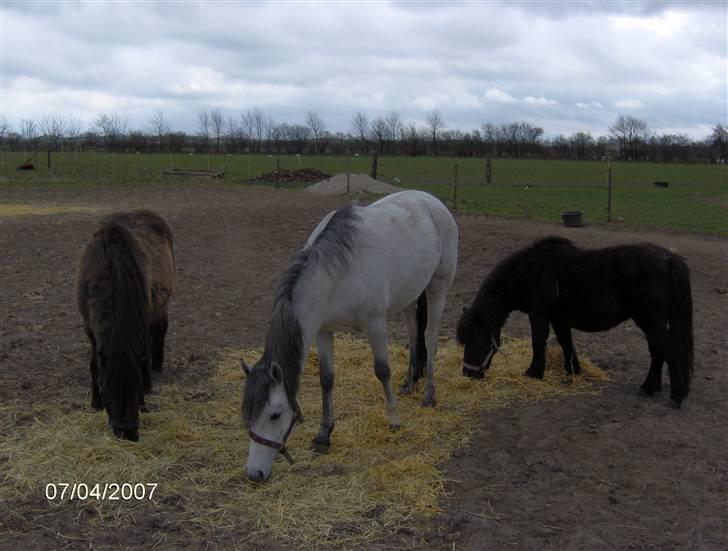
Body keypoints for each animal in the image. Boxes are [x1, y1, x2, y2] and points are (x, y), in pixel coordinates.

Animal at [76, 209, 176, 442]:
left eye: (135, 389)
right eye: (106, 390)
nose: (127, 434)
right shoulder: (89, 328)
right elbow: (94, 363)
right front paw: (95, 402)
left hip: (160, 308)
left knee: (159, 333)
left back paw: (156, 367)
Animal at [242, 191, 458, 484]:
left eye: (275, 415)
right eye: (247, 414)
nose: (255, 474)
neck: (337, 273)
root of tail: (433, 201)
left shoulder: (375, 323)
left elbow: (382, 370)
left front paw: (394, 420)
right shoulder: (323, 330)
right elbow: (326, 379)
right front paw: (323, 435)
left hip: (438, 287)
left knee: (429, 337)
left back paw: (428, 395)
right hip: (409, 294)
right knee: (414, 332)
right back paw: (410, 382)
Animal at [460, 235, 692, 408]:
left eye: (474, 339)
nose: (468, 374)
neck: (528, 271)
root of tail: (668, 258)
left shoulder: (539, 315)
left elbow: (538, 342)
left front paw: (534, 373)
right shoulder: (559, 318)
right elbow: (566, 343)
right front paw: (573, 370)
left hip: (649, 321)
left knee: (668, 351)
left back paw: (677, 395)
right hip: (650, 322)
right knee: (658, 353)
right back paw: (648, 388)